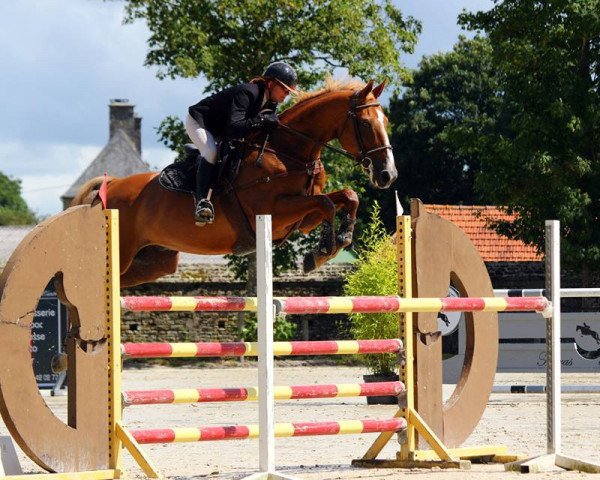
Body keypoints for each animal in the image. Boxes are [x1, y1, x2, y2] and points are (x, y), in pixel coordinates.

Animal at [72, 79, 396, 286]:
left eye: (386, 122)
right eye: (365, 123)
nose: (388, 175)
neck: (289, 151)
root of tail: (112, 185)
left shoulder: (302, 220)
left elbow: (346, 196)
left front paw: (339, 240)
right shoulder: (274, 212)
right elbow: (327, 203)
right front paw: (323, 250)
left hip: (153, 261)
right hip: (122, 253)